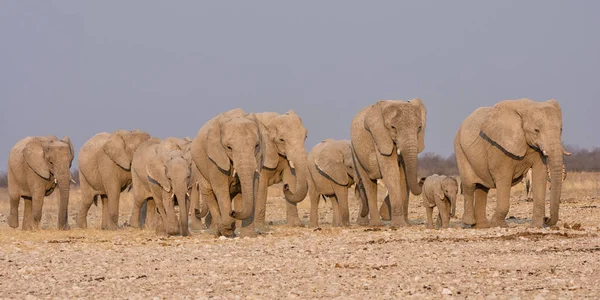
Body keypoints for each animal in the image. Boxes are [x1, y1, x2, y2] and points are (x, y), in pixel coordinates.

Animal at [190, 108, 272, 237]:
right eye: (229, 147)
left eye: (257, 145)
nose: (233, 212)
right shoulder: (214, 158)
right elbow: (220, 187)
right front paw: (227, 230)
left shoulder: (259, 156)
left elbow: (253, 186)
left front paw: (247, 235)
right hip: (199, 167)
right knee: (209, 191)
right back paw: (217, 231)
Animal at [458, 98, 568, 227]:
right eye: (536, 130)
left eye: (561, 130)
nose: (547, 219)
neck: (527, 107)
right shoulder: (499, 146)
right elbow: (504, 176)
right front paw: (498, 224)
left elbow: (540, 175)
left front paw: (536, 226)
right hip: (460, 149)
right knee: (469, 185)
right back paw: (470, 222)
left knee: (483, 188)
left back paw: (482, 226)